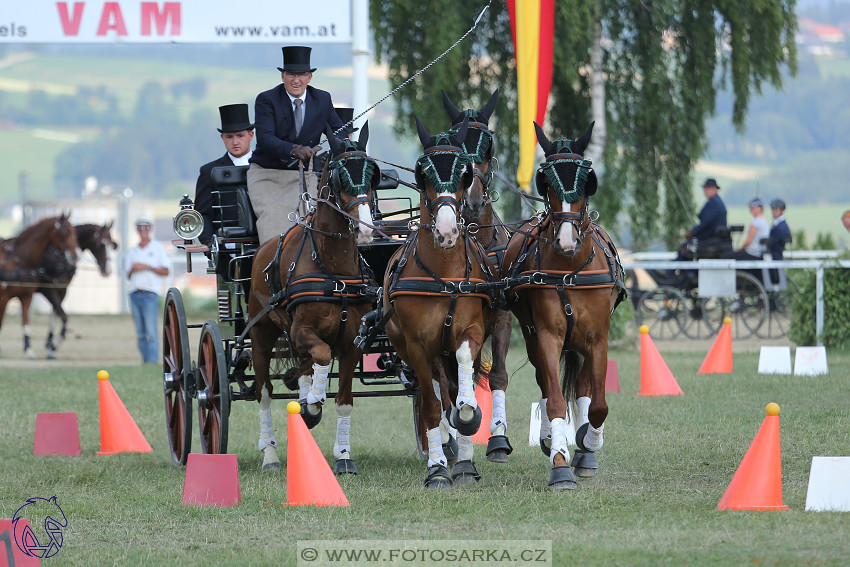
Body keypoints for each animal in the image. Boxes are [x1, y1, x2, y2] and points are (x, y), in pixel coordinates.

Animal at [0, 215, 78, 358]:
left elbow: (26, 322)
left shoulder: (26, 296)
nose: (74, 255)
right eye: (65, 232)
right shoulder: (4, 296)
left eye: (74, 231)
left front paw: (30, 350)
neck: (19, 260)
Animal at [245, 124, 378, 474]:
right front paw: (315, 402)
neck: (334, 270)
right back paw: (270, 454)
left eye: (372, 173)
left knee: (301, 369)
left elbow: (344, 402)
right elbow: (321, 354)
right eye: (340, 176)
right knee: (264, 392)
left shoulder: (352, 344)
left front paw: (344, 456)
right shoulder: (301, 330)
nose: (365, 229)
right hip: (262, 335)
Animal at [380, 115, 494, 488]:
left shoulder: (472, 331)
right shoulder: (417, 345)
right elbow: (430, 406)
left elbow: (464, 389)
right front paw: (437, 468)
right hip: (409, 348)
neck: (444, 274)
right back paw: (442, 447)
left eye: (464, 172)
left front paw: (468, 426)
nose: (445, 232)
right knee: (432, 389)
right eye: (423, 173)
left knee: (450, 386)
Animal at [496, 122, 624, 490]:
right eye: (547, 182)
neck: (569, 268)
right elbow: (553, 398)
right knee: (545, 381)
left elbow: (598, 405)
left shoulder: (597, 339)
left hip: (580, 344)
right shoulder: (548, 335)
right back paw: (553, 440)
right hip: (532, 334)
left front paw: (588, 441)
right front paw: (559, 461)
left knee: (583, 388)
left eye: (586, 180)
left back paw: (584, 450)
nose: (567, 239)